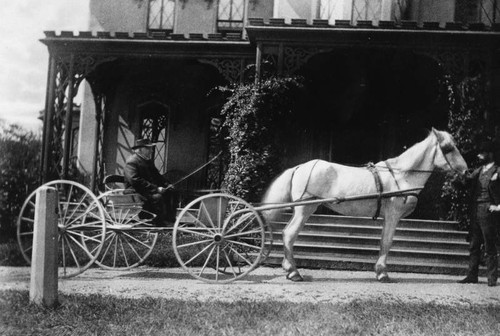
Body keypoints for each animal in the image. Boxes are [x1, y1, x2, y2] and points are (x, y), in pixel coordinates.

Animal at [262, 127, 468, 282]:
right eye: (448, 148)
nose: (466, 171)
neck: (401, 175)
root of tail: (300, 167)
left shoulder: (389, 217)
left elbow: (383, 241)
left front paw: (379, 271)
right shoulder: (393, 215)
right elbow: (387, 241)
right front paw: (383, 273)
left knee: (286, 233)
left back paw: (288, 268)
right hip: (305, 209)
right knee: (289, 234)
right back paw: (294, 272)